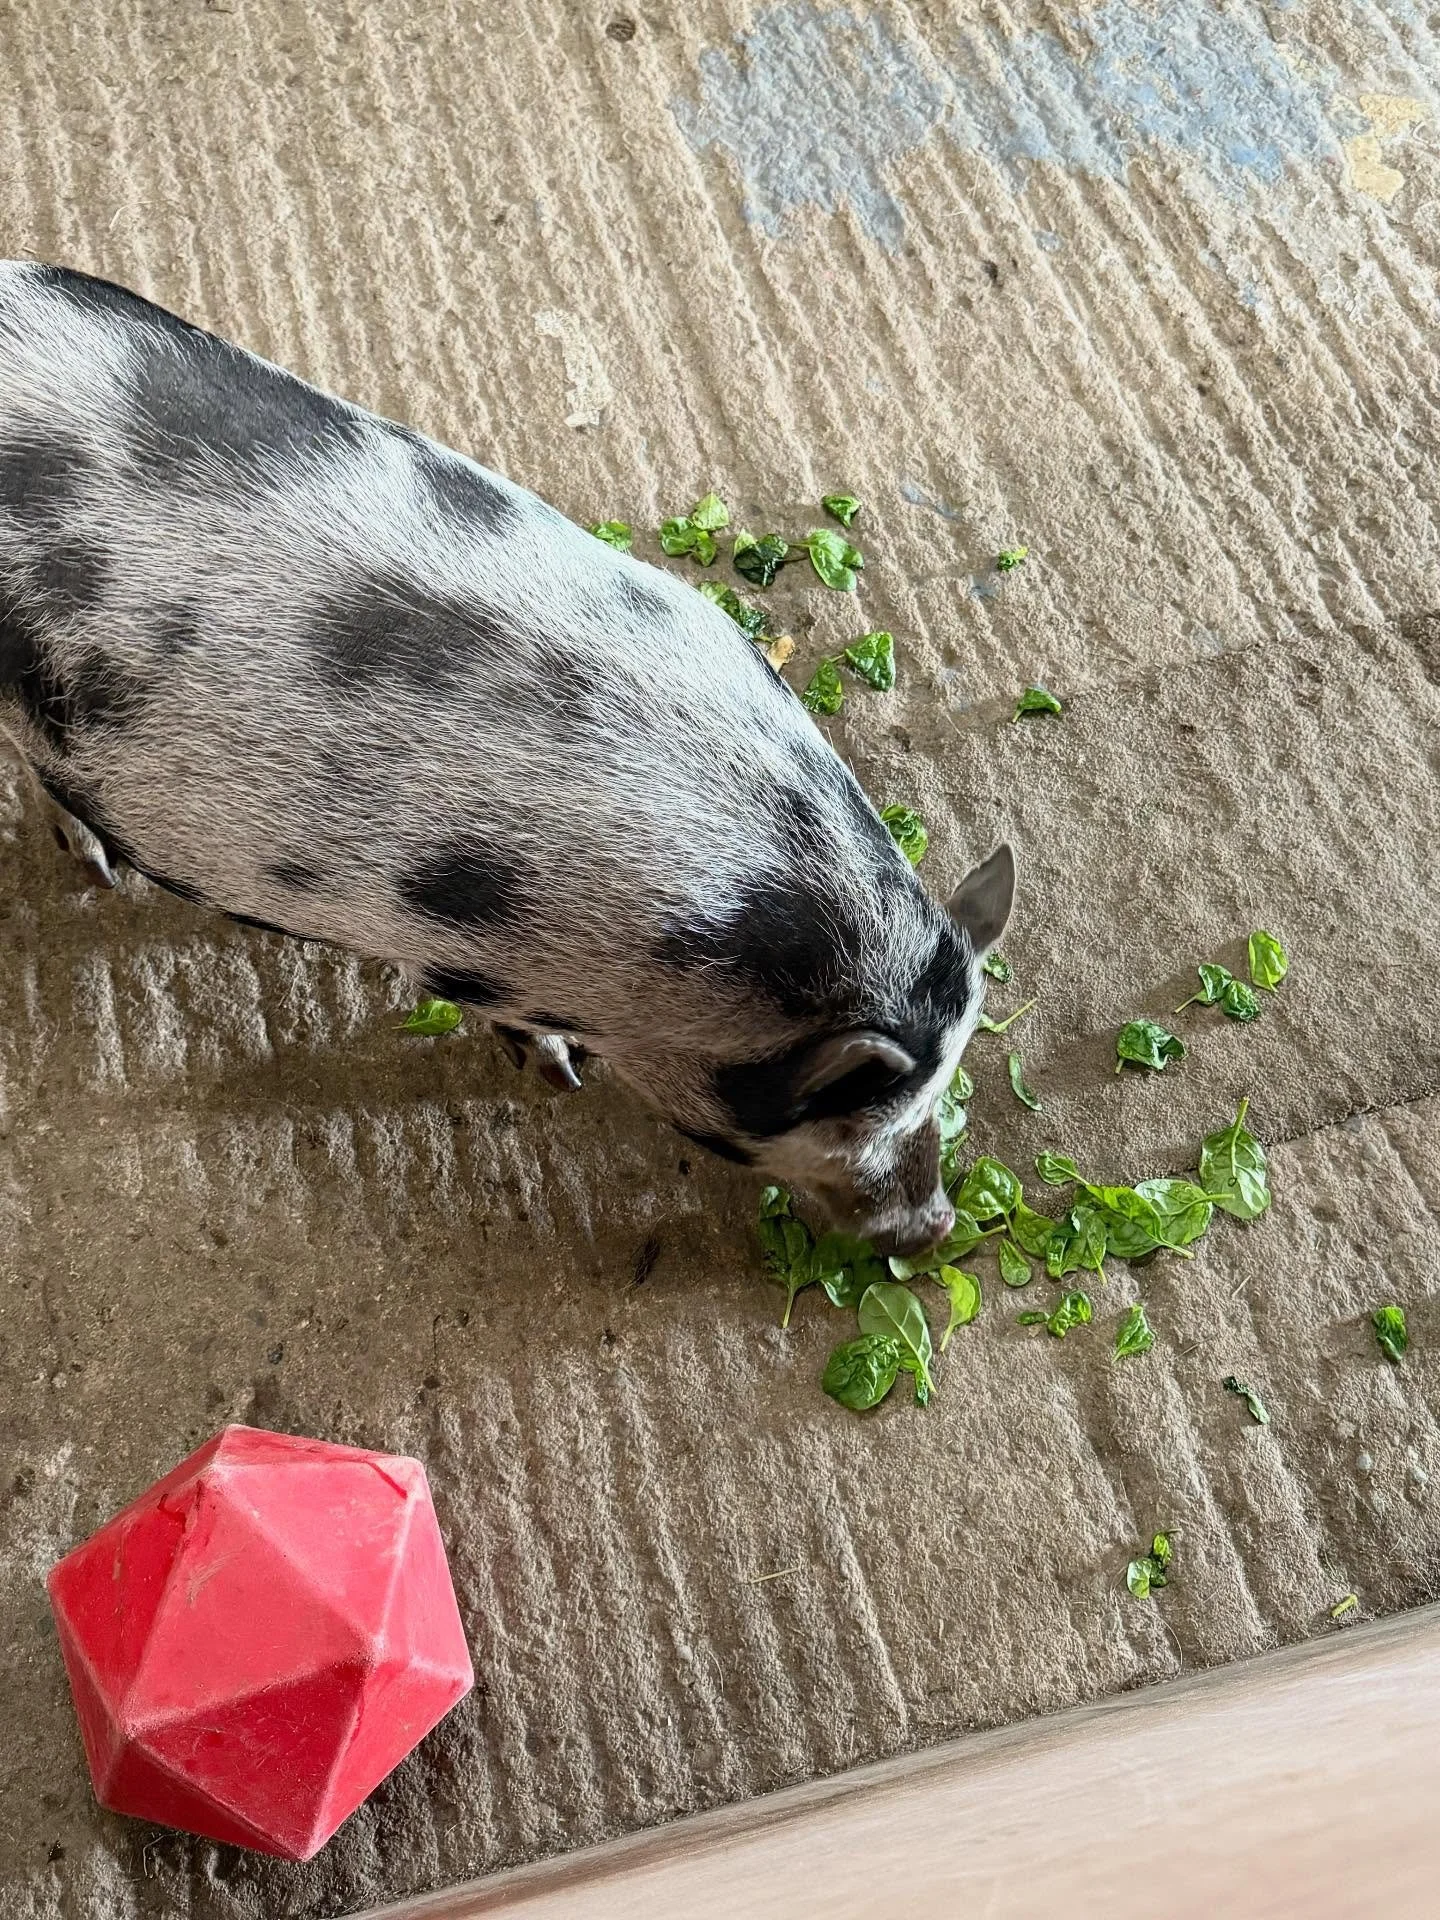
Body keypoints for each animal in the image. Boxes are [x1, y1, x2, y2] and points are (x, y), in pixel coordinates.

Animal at [0, 264, 1014, 1256]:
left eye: (939, 1094)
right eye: (848, 1122)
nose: (935, 1228)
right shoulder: (463, 957)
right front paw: (556, 1074)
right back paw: (94, 864)